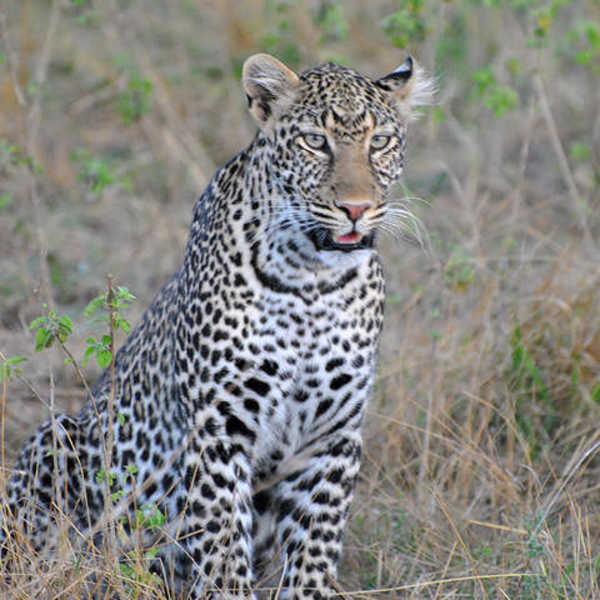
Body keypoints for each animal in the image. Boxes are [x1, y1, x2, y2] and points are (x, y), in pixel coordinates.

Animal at [0, 54, 432, 596]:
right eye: (316, 141)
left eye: (380, 142)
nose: (356, 208)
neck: (313, 279)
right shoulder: (219, 426)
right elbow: (224, 544)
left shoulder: (333, 436)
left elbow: (315, 547)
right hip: (59, 438)